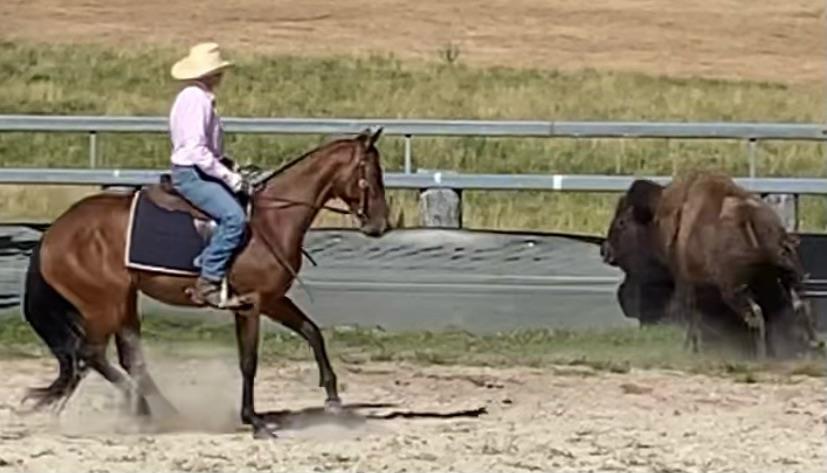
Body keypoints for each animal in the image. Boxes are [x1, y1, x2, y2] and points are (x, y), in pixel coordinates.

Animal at [21, 127, 390, 438]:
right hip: (103, 305)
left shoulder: (272, 300)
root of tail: (52, 233)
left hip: (124, 300)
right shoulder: (250, 304)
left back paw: (158, 412)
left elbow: (313, 332)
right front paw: (254, 421)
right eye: (371, 175)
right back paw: (144, 409)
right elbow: (248, 361)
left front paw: (333, 399)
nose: (381, 225)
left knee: (128, 358)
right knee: (92, 354)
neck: (272, 220)